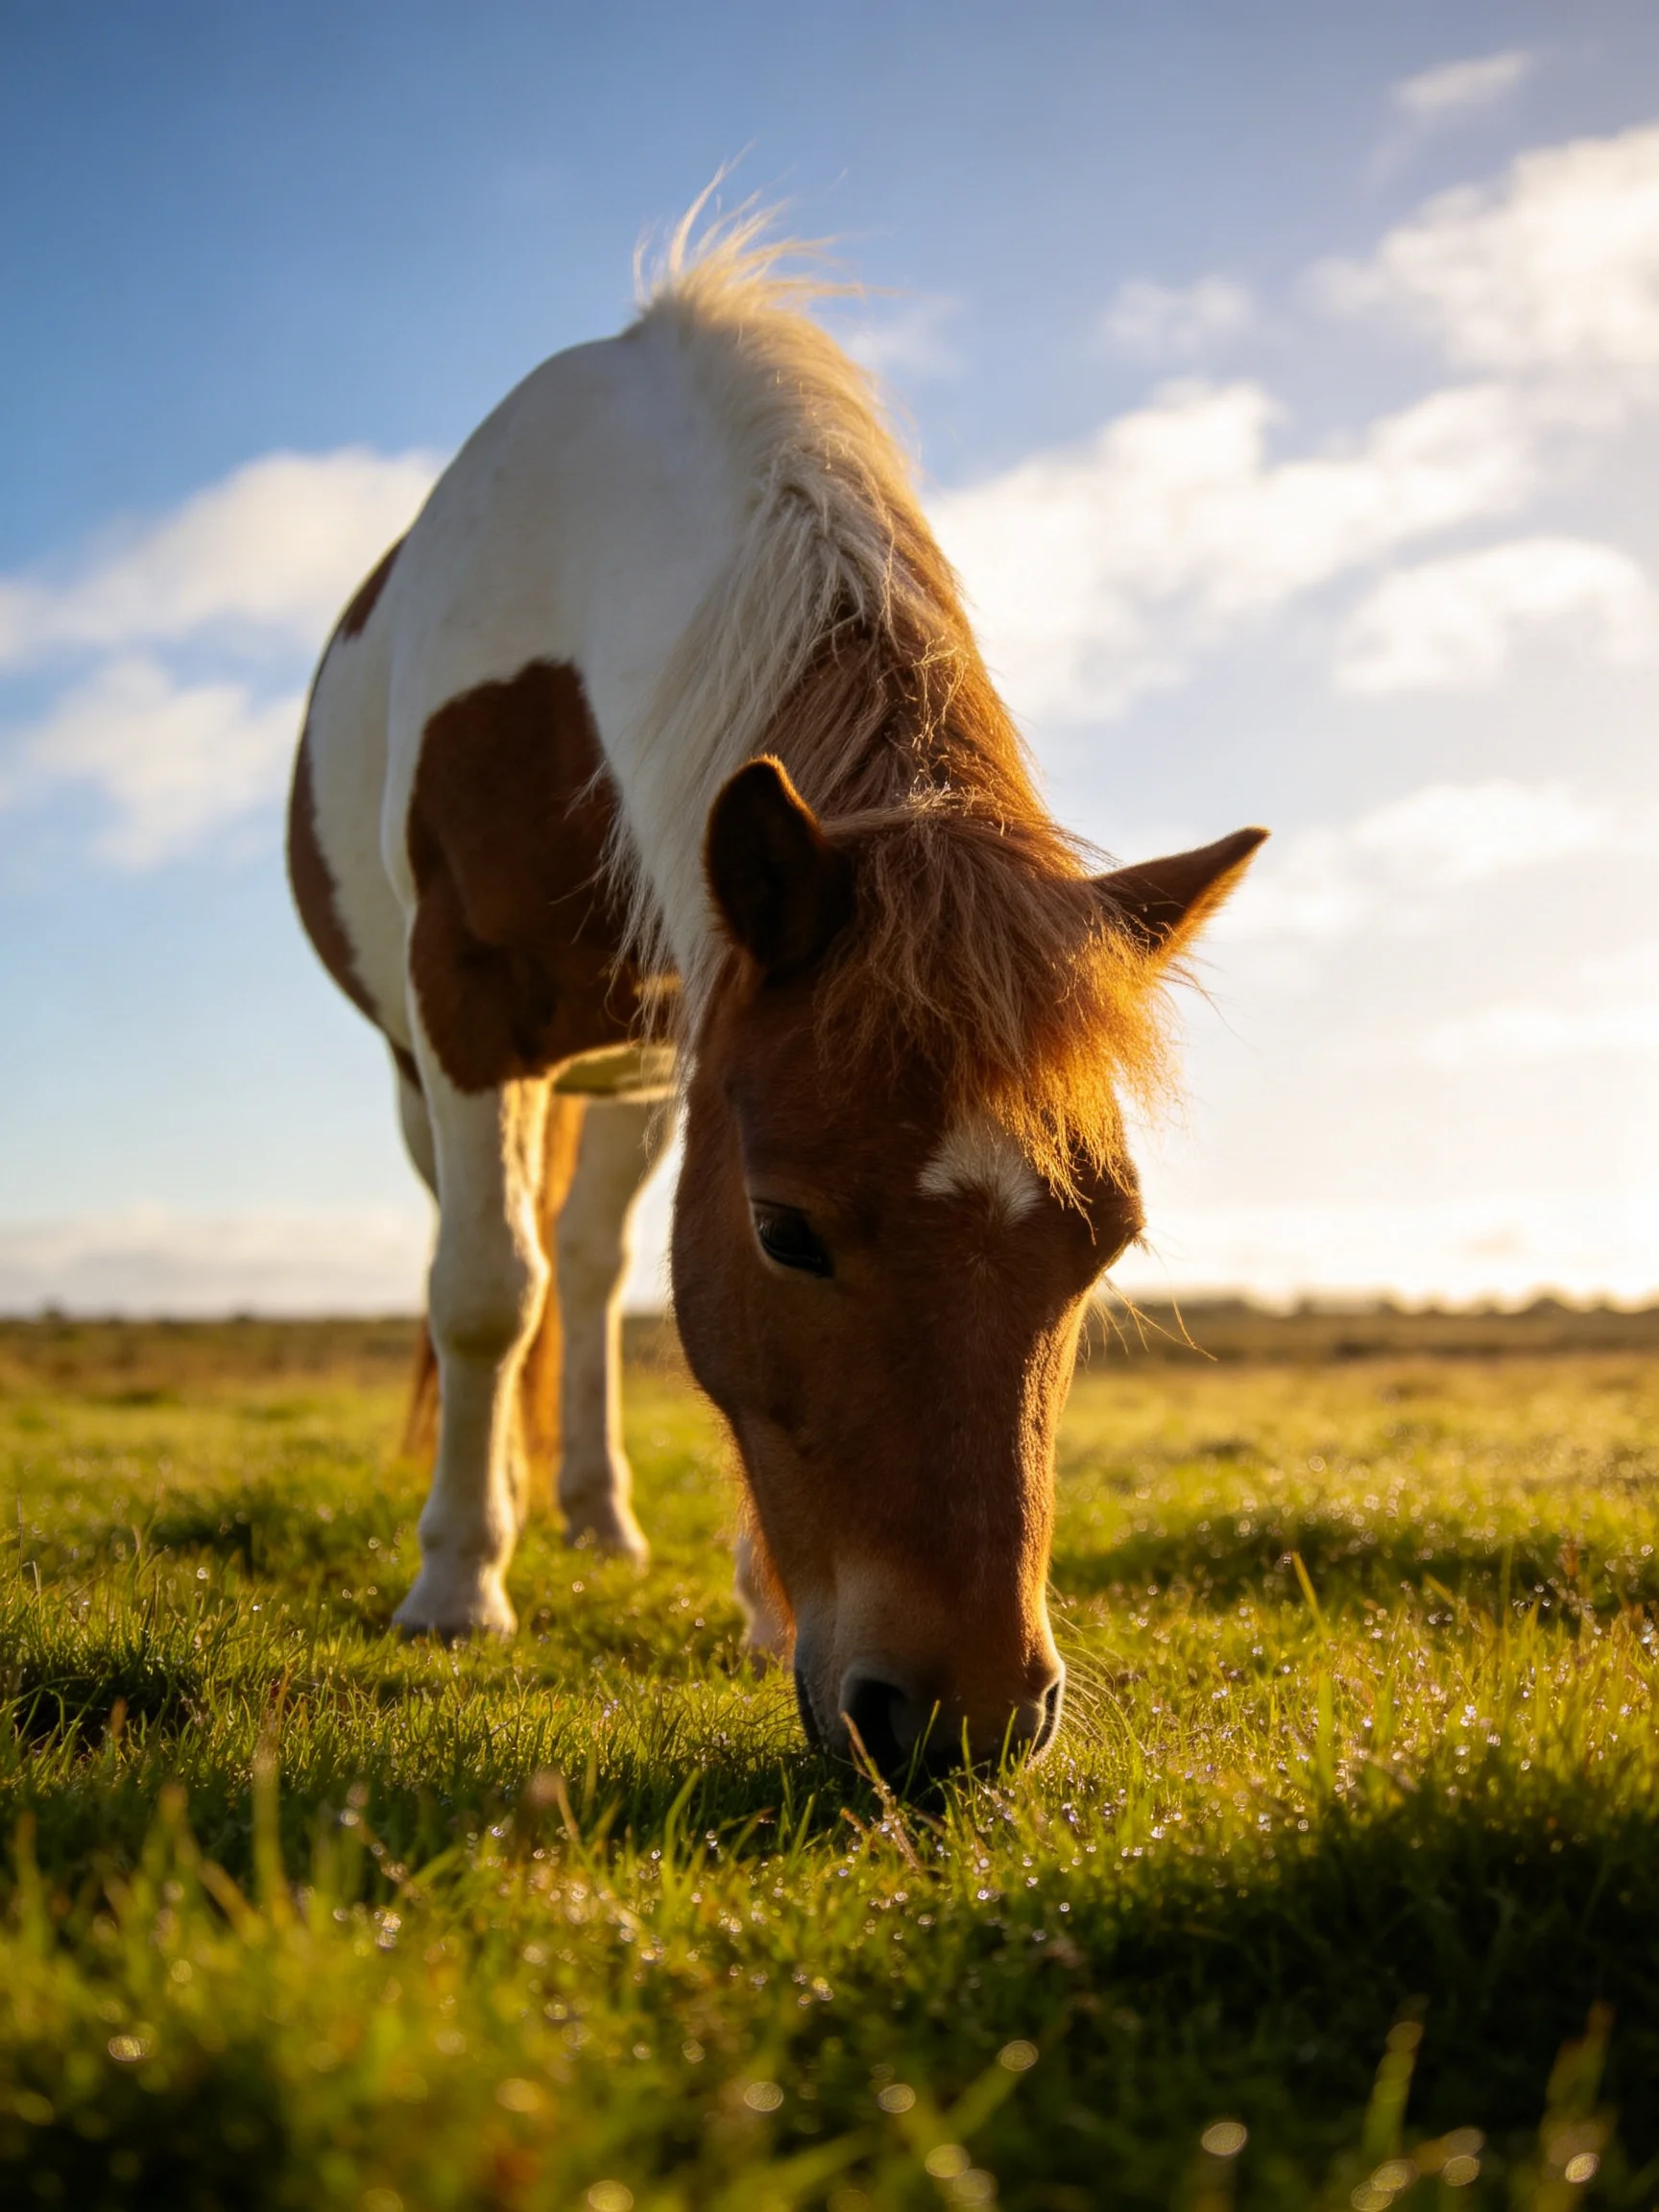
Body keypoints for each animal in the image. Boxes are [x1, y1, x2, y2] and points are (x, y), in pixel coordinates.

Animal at [287, 212, 1266, 1783]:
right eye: (786, 1231)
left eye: (1107, 1246)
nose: (964, 1723)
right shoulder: (462, 1015)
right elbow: (486, 1291)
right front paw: (454, 1588)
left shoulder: (699, 1036)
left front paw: (752, 1597)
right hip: (431, 1067)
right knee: (492, 1258)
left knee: (593, 1266)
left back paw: (601, 1517)